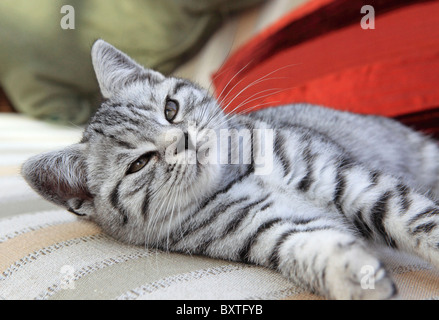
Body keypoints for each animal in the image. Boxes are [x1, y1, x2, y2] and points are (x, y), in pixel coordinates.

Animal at [21, 40, 439, 300]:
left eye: (170, 109)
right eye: (139, 163)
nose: (182, 141)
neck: (238, 177)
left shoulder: (349, 180)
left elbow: (419, 221)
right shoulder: (270, 228)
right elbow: (314, 246)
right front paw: (356, 277)